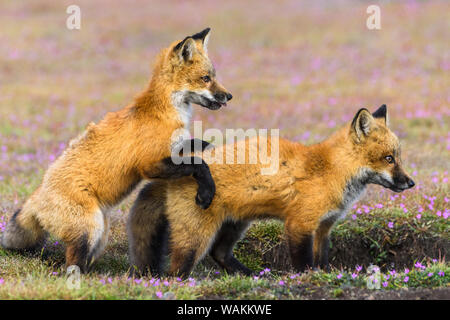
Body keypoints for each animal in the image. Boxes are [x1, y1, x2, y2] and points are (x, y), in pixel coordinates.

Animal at [0, 28, 232, 272]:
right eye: (206, 78)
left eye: (213, 77)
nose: (229, 96)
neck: (164, 112)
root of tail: (37, 193)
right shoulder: (149, 165)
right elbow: (199, 164)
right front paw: (207, 192)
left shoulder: (172, 150)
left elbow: (193, 145)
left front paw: (208, 146)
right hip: (90, 229)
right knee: (71, 264)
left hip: (100, 233)